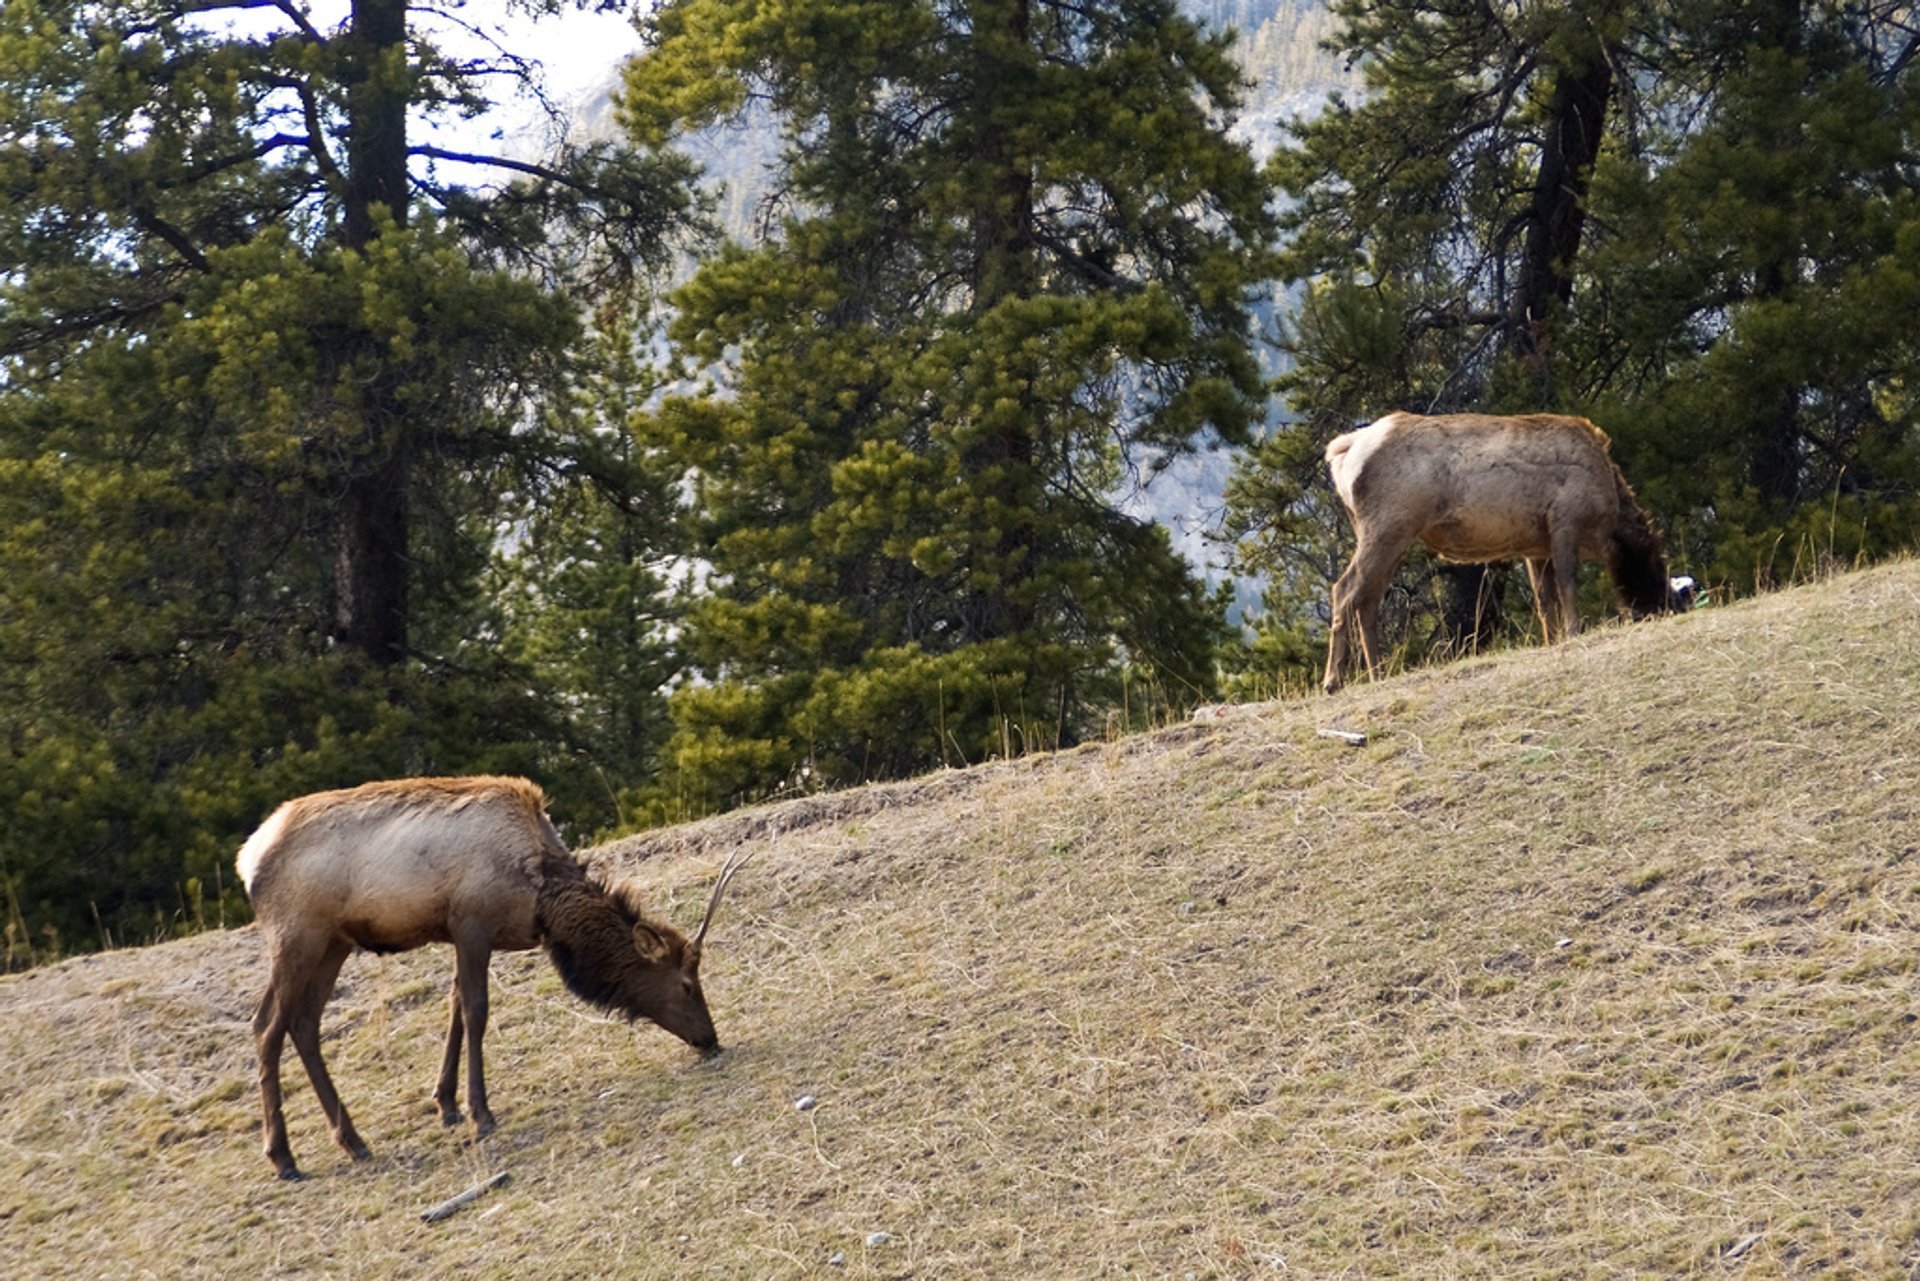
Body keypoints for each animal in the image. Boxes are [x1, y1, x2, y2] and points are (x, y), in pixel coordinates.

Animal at [236, 772, 752, 1183]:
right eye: (687, 984)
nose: (710, 1038)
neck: (542, 899)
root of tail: (246, 859)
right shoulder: (471, 923)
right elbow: (475, 1009)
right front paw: (480, 1114)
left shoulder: (459, 932)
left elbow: (454, 1007)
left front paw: (446, 1104)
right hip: (298, 936)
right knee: (266, 1026)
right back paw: (284, 1158)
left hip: (334, 943)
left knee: (304, 1024)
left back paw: (352, 1140)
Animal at [1320, 410, 1681, 691]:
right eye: (1657, 568)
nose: (1663, 606)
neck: (1609, 516)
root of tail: (1344, 452)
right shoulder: (1565, 521)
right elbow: (1568, 585)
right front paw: (1573, 632)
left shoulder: (1536, 547)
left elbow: (1544, 600)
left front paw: (1552, 639)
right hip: (1389, 527)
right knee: (1345, 588)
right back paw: (1333, 680)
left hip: (1389, 535)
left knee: (1367, 598)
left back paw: (1377, 673)